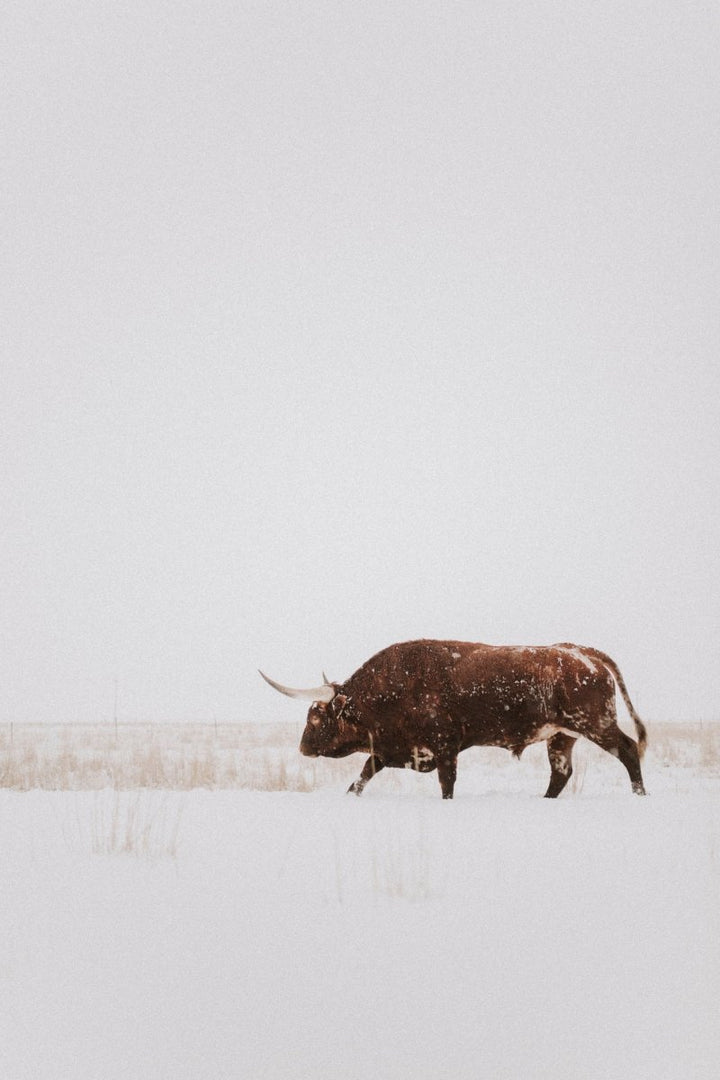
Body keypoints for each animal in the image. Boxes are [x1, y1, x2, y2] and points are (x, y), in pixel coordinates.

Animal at [260, 639, 648, 799]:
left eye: (316, 717)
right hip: (562, 736)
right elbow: (360, 780)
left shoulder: (446, 750)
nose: (302, 747)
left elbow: (447, 786)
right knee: (561, 773)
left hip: (595, 724)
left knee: (629, 750)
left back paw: (639, 794)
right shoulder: (387, 751)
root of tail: (582, 652)